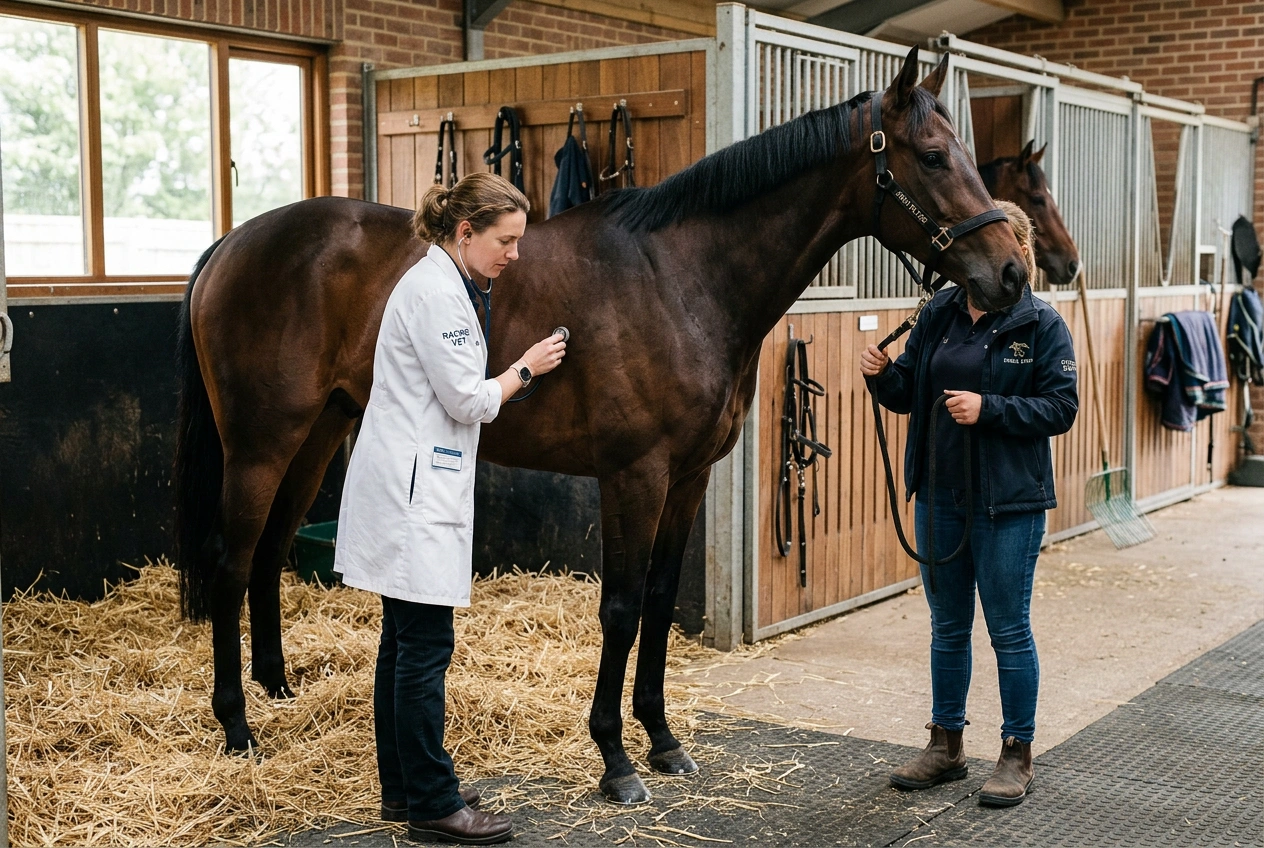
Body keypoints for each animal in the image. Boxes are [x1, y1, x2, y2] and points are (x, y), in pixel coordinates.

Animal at [174, 46, 1027, 805]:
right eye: (932, 156)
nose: (1012, 273)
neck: (683, 280)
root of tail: (230, 244)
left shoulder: (689, 477)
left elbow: (657, 599)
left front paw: (664, 742)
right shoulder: (634, 475)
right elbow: (618, 607)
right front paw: (615, 761)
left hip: (321, 432)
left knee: (269, 555)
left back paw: (280, 691)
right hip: (260, 444)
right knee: (230, 561)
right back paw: (238, 729)